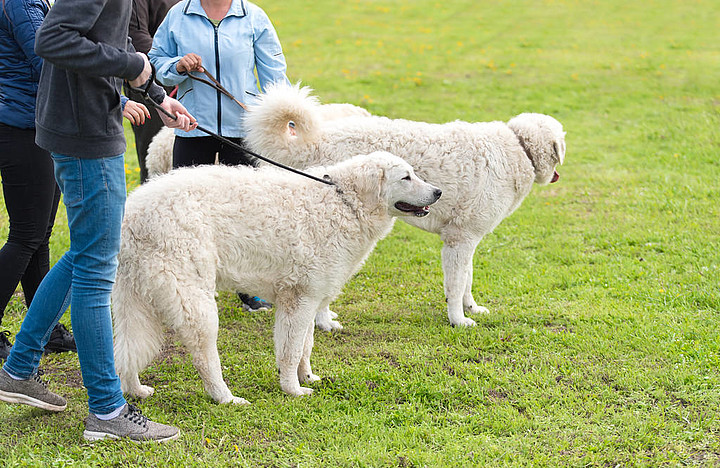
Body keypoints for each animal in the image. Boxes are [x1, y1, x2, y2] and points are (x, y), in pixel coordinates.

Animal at [113, 152, 442, 404]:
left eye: (414, 174)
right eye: (406, 178)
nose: (438, 192)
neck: (343, 202)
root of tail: (133, 213)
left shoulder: (308, 300)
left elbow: (305, 346)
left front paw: (307, 376)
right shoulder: (299, 300)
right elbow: (291, 351)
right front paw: (293, 390)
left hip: (134, 303)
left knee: (126, 351)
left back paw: (136, 391)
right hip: (195, 303)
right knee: (203, 357)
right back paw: (225, 397)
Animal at [243, 86, 568, 330]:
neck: (519, 147)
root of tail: (313, 141)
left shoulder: (467, 239)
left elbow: (467, 279)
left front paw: (471, 308)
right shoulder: (459, 240)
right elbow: (456, 284)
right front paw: (458, 320)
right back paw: (324, 322)